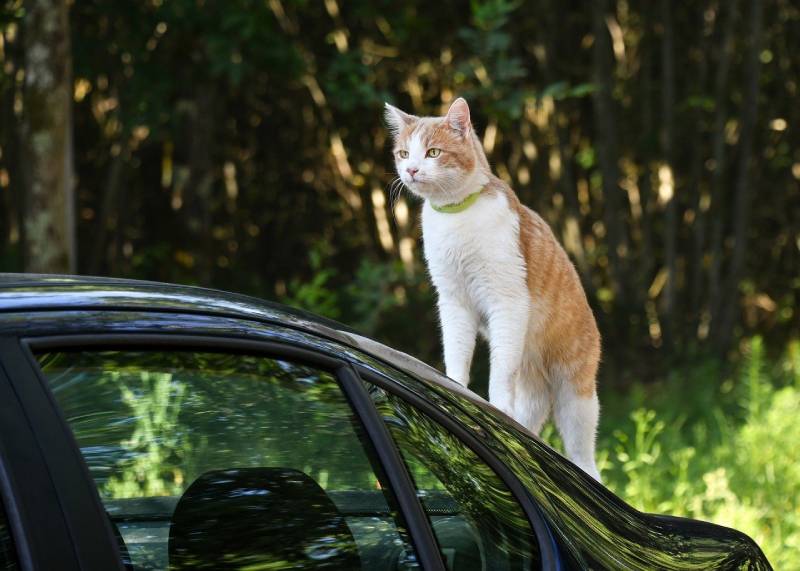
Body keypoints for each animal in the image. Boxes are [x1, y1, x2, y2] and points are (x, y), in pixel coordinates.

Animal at [386, 97, 600, 478]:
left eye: (432, 152)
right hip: (532, 389)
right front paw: (454, 386)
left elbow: (500, 369)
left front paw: (496, 402)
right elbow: (456, 350)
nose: (410, 170)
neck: (456, 217)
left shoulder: (507, 300)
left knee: (585, 460)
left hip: (575, 396)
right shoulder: (453, 300)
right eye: (403, 153)